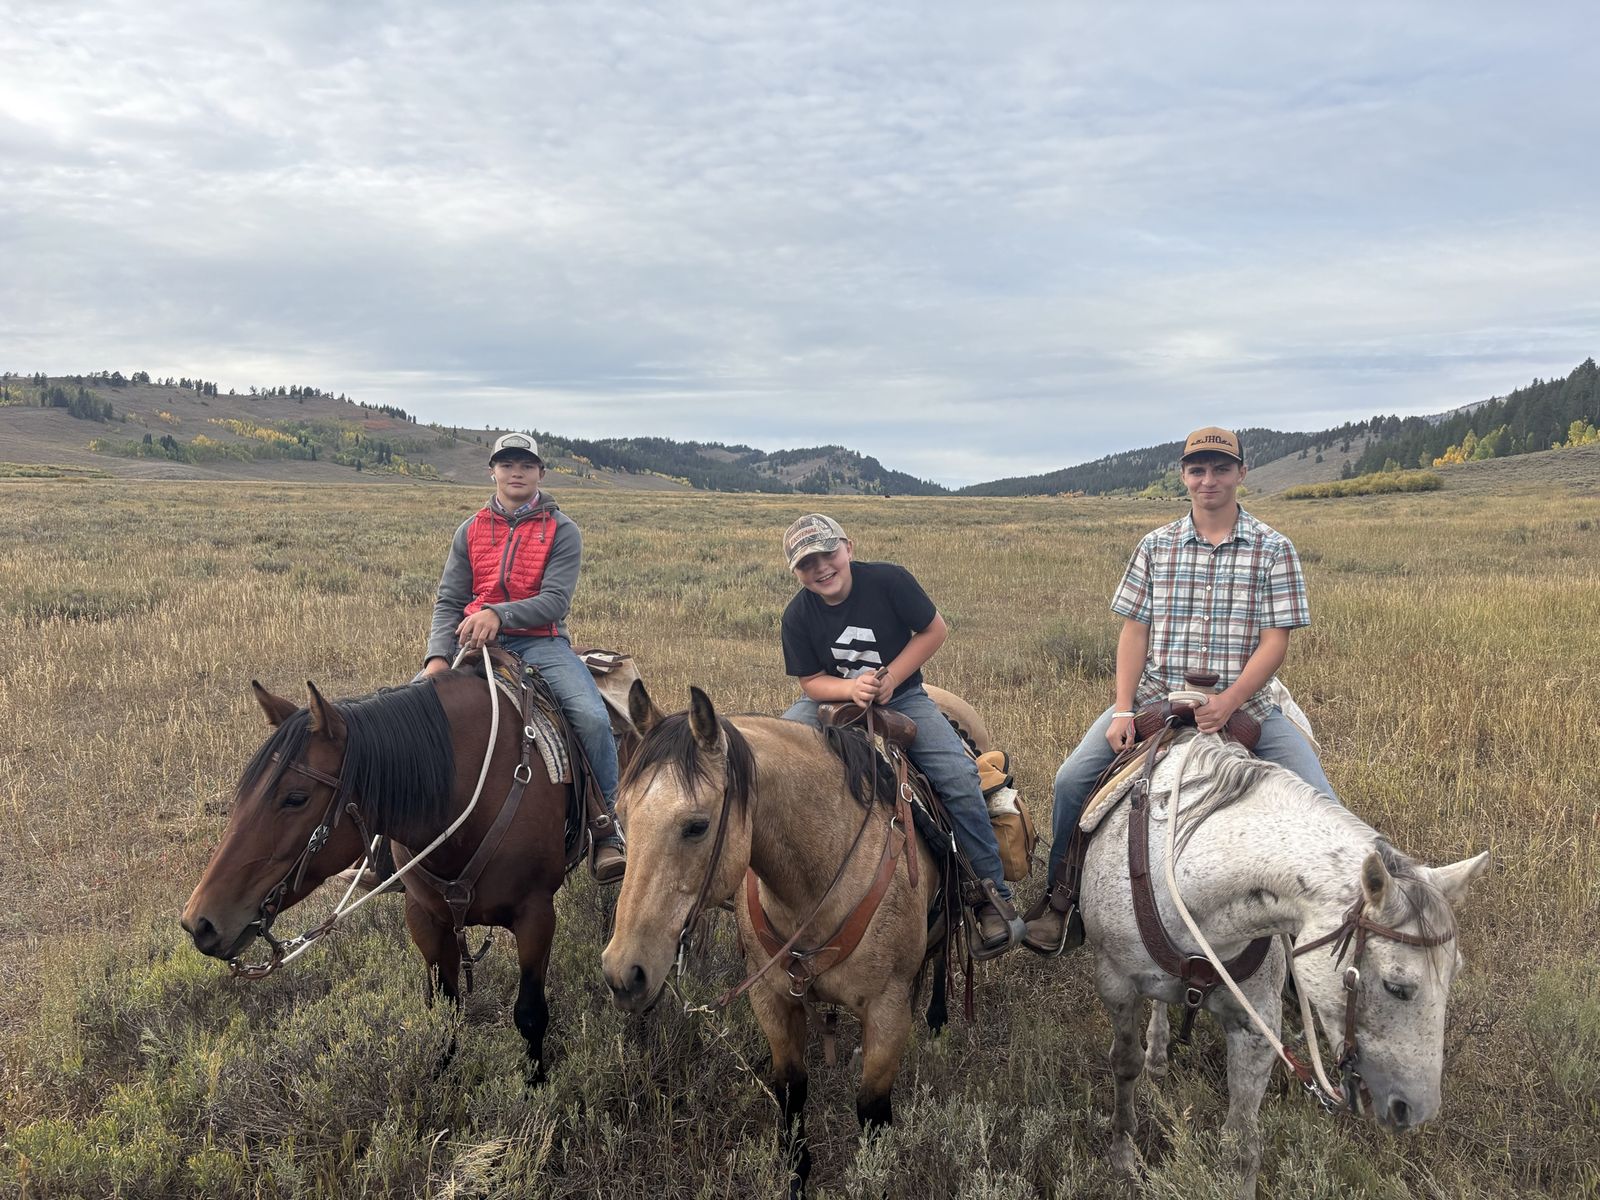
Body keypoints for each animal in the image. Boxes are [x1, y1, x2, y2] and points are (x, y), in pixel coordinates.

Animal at [181, 662, 608, 1083]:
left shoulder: (536, 916)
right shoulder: (425, 917)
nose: (199, 922)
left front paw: (535, 1084)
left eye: (296, 798)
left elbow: (530, 1014)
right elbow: (445, 1008)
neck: (475, 793)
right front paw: (439, 1076)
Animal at [600, 684, 944, 1197]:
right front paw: (796, 1177)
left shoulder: (889, 1009)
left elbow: (872, 1112)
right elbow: (791, 1090)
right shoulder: (771, 997)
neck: (820, 879)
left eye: (697, 825)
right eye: (621, 814)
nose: (623, 973)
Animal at [1078, 731, 1488, 1196]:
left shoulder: (1256, 1023)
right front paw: (1122, 1158)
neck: (1185, 880)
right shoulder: (1116, 985)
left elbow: (1241, 1143)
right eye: (1397, 986)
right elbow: (1124, 1065)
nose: (1416, 1110)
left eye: (1455, 973)